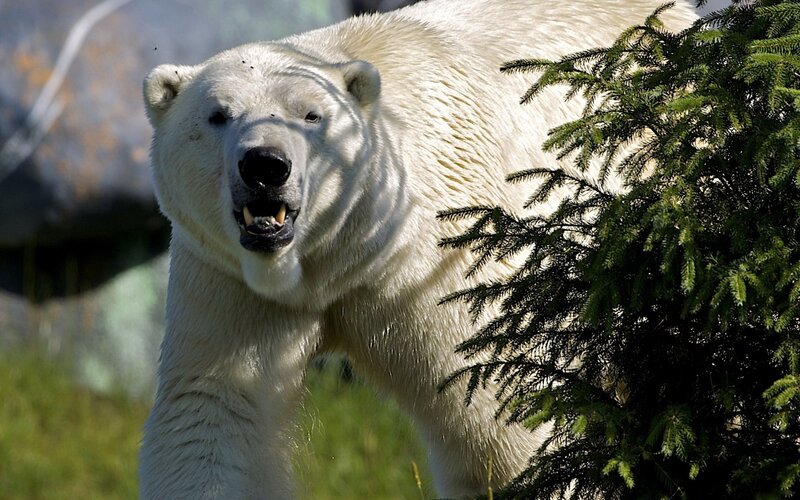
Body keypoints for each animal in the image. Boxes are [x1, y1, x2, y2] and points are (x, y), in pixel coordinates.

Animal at [139, 0, 697, 498]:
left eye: (312, 115)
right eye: (218, 115)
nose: (265, 165)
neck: (333, 259)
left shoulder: (436, 262)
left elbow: (501, 411)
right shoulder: (230, 278)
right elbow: (215, 412)